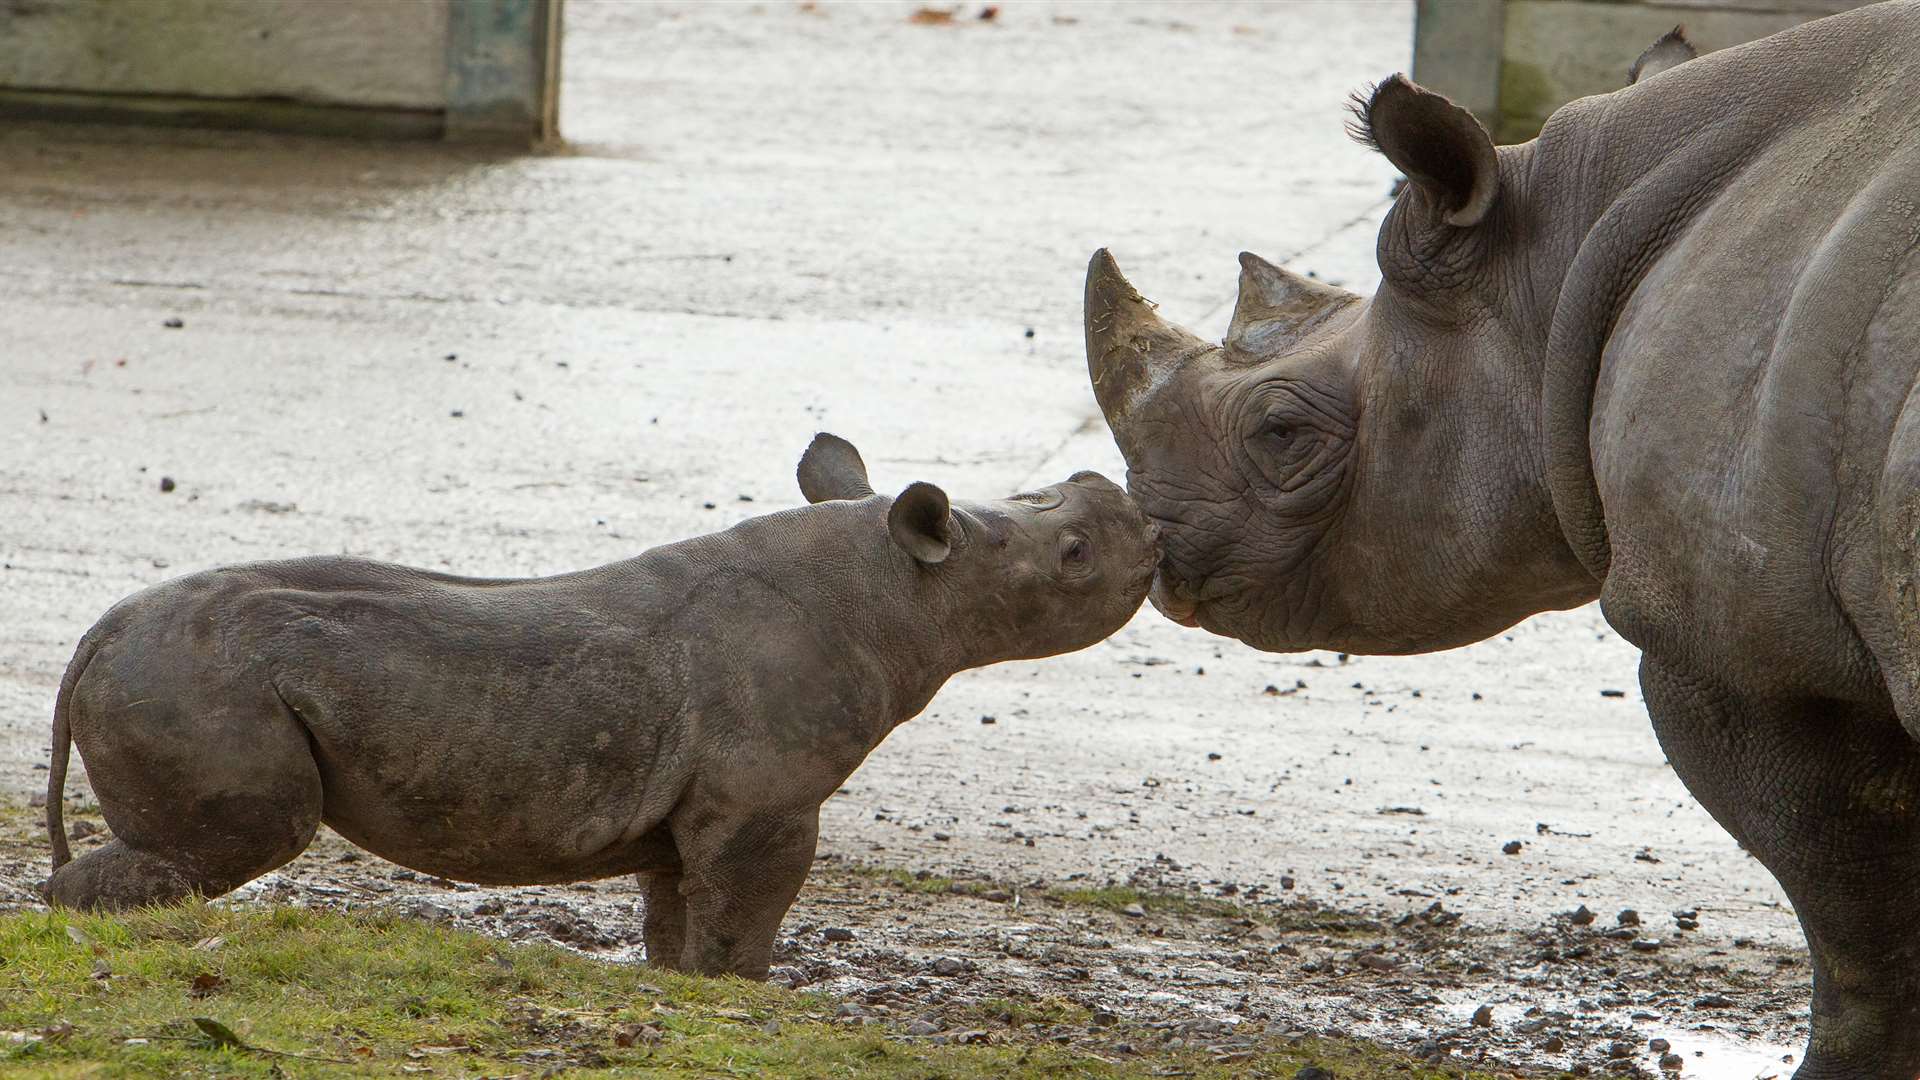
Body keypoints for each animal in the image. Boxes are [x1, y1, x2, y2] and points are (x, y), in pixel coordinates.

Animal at [45, 434, 1152, 976]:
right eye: (1075, 555)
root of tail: (95, 634)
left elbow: (681, 912)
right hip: (196, 678)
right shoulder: (764, 801)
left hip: (175, 667)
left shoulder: (698, 805)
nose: (1135, 518)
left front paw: (681, 984)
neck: (898, 586)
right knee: (245, 837)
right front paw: (745, 990)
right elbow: (749, 910)